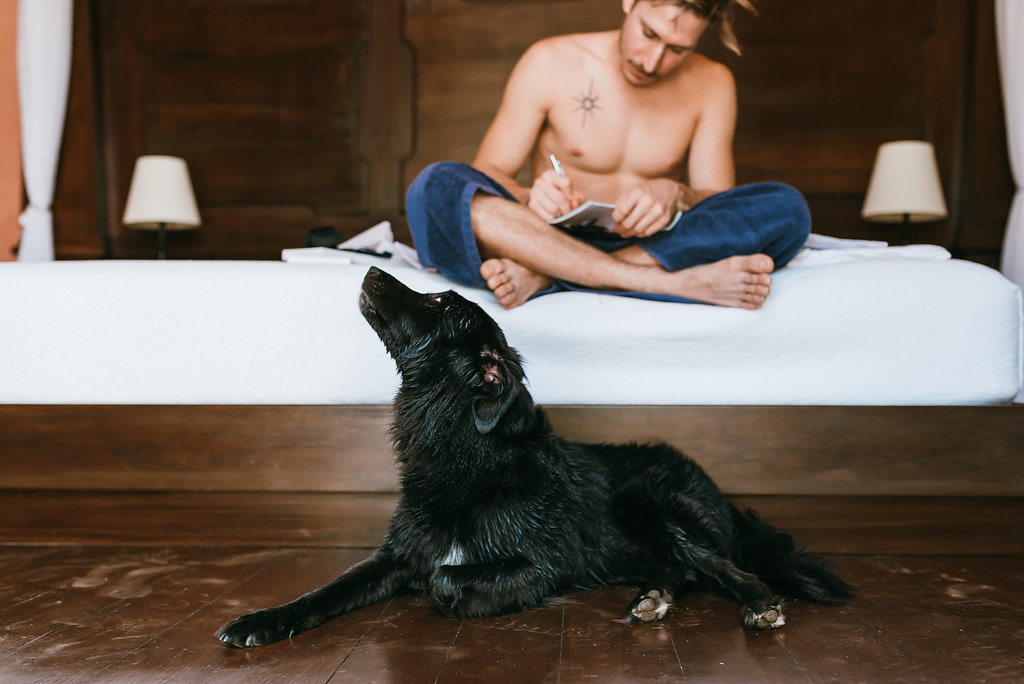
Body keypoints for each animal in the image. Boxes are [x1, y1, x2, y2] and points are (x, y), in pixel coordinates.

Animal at [214, 266, 847, 647]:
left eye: (438, 300)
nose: (368, 269)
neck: (461, 454)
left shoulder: (542, 565)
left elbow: (445, 578)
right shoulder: (394, 556)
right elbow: (325, 591)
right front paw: (262, 621)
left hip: (647, 500)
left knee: (720, 565)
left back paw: (758, 605)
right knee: (682, 568)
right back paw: (653, 600)